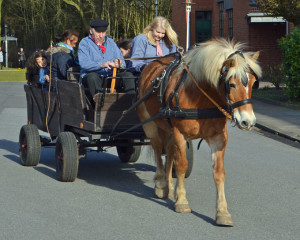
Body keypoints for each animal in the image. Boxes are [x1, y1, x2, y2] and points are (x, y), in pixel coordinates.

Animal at [136, 38, 260, 226]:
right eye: (231, 84)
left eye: (253, 83)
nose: (248, 121)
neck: (199, 97)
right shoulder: (180, 134)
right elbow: (182, 165)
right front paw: (181, 201)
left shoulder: (218, 139)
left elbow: (219, 173)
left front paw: (222, 212)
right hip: (151, 124)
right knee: (158, 150)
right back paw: (161, 184)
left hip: (168, 129)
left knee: (169, 152)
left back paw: (169, 185)